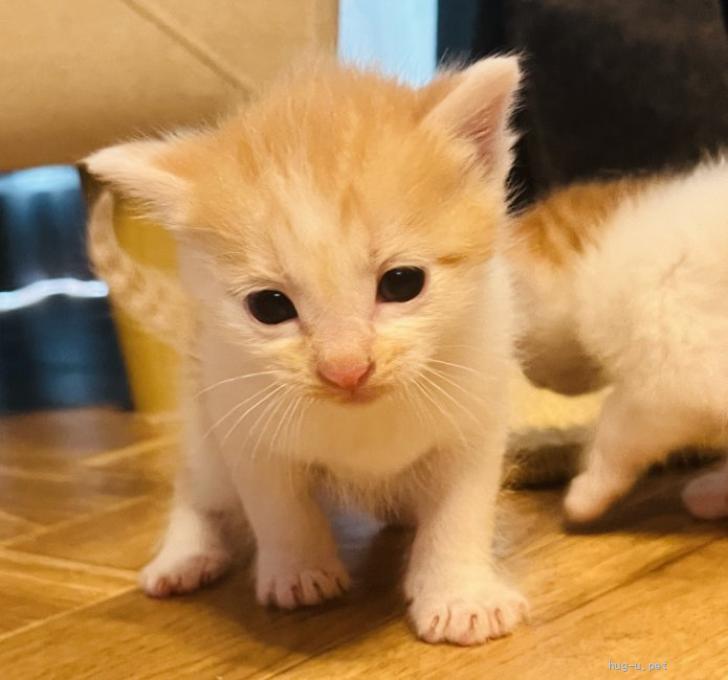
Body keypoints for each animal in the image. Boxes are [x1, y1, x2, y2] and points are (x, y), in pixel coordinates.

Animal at [84, 57, 528, 644]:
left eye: (402, 282)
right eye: (269, 306)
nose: (346, 369)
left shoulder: (479, 409)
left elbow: (462, 510)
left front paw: (461, 595)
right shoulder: (240, 421)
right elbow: (277, 505)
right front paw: (300, 572)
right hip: (205, 416)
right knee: (198, 484)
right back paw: (185, 554)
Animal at [510, 159, 728, 520]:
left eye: (519, 349)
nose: (531, 378)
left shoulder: (674, 370)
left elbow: (616, 425)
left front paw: (588, 492)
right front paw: (716, 492)